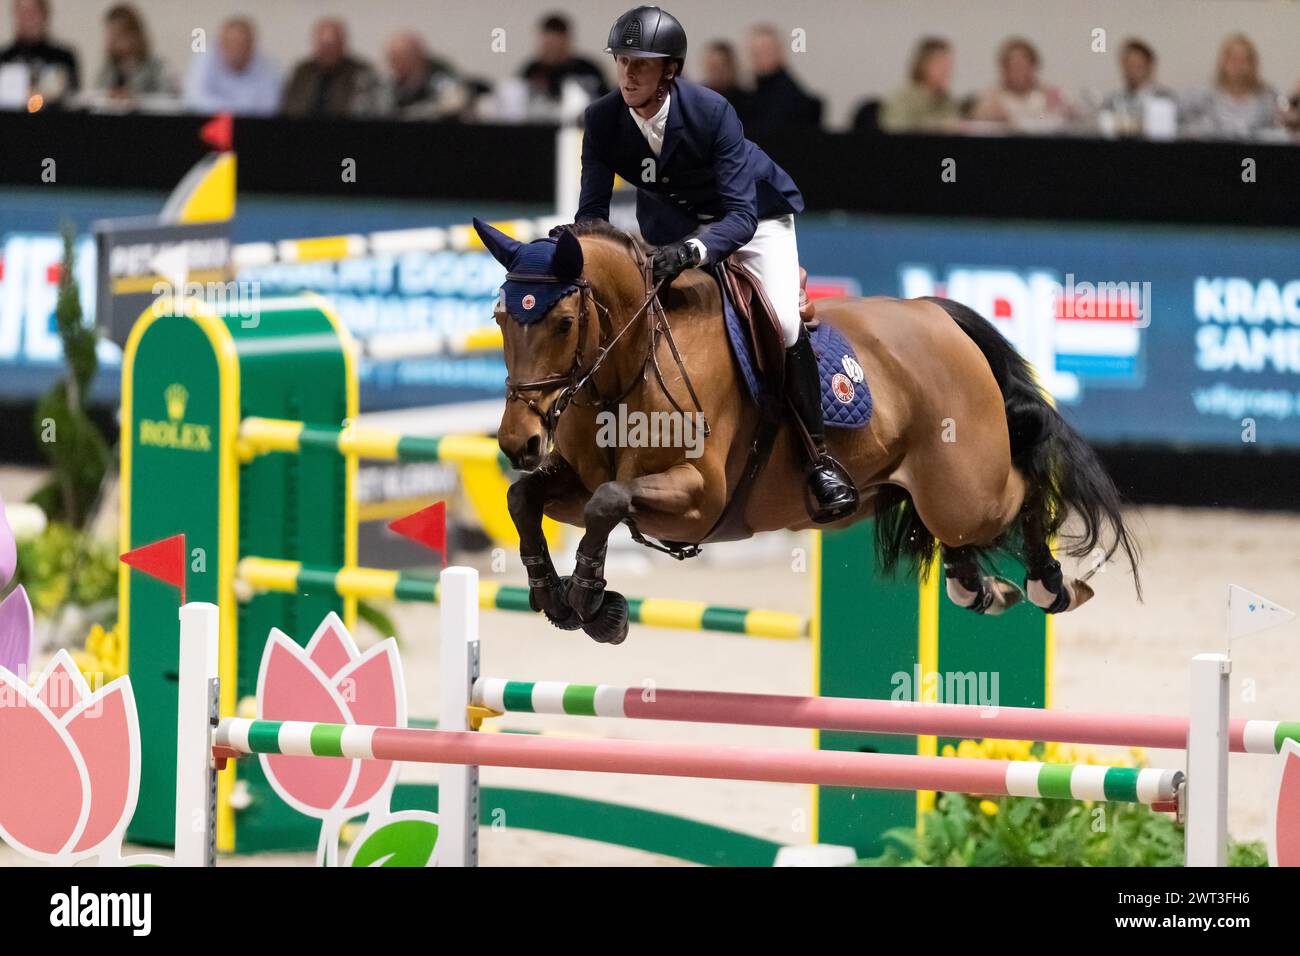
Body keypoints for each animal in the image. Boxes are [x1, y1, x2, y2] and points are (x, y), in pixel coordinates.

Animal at [475, 221, 1138, 647]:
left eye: (563, 322)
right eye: (501, 317)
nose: (517, 443)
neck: (631, 365)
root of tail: (937, 313)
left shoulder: (698, 500)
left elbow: (608, 502)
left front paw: (591, 599)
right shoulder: (573, 479)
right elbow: (526, 496)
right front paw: (552, 592)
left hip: (966, 489)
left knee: (1025, 485)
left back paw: (1048, 584)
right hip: (918, 492)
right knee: (955, 534)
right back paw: (977, 586)